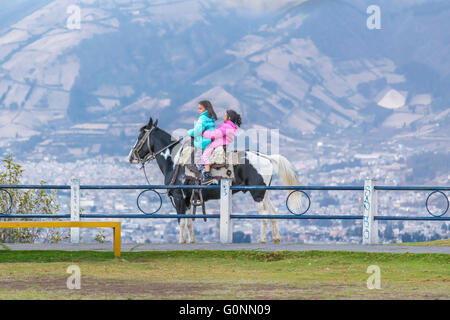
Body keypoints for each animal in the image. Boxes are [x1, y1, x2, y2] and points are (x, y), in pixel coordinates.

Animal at [127, 118, 302, 245]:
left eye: (140, 136)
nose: (131, 156)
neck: (175, 161)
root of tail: (265, 157)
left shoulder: (178, 197)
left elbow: (181, 221)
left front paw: (181, 241)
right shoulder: (188, 199)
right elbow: (189, 221)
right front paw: (192, 240)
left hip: (257, 194)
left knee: (264, 214)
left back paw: (262, 239)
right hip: (264, 193)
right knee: (273, 212)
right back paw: (276, 238)